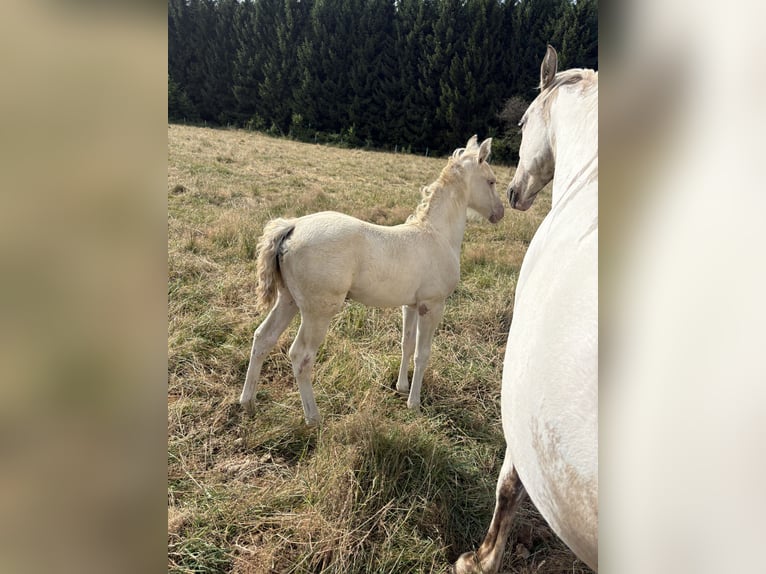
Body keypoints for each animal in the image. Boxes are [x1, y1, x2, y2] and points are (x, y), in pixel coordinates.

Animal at [240, 135, 504, 426]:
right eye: (491, 181)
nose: (500, 212)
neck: (437, 234)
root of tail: (293, 225)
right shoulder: (432, 305)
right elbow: (422, 353)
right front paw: (415, 404)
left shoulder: (411, 305)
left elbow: (406, 344)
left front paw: (402, 388)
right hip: (317, 312)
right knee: (301, 356)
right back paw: (314, 418)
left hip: (288, 300)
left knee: (262, 338)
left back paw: (248, 403)